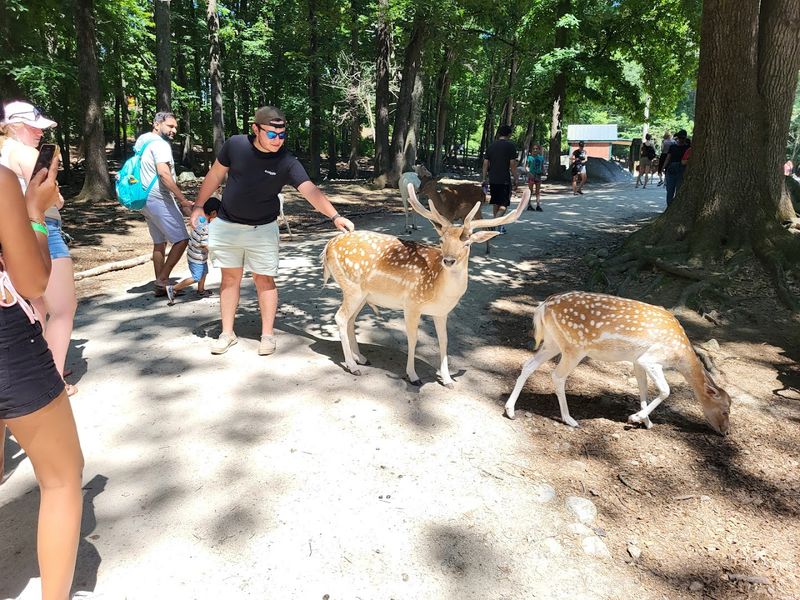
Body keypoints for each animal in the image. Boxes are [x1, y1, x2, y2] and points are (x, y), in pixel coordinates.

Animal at [322, 185, 531, 387]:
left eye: (467, 244)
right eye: (441, 240)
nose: (448, 260)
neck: (438, 290)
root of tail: (328, 246)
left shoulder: (442, 312)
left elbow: (444, 340)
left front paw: (447, 379)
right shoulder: (412, 304)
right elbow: (413, 338)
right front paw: (413, 376)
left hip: (363, 295)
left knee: (350, 320)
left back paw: (361, 358)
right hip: (352, 288)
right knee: (340, 317)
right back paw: (352, 366)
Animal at [504, 291, 732, 435]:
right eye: (725, 410)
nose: (726, 431)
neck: (680, 354)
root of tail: (543, 306)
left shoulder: (637, 361)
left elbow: (642, 387)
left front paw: (646, 421)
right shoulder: (651, 358)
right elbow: (666, 390)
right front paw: (635, 418)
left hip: (553, 342)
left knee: (528, 365)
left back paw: (510, 410)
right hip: (574, 347)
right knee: (557, 375)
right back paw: (570, 419)